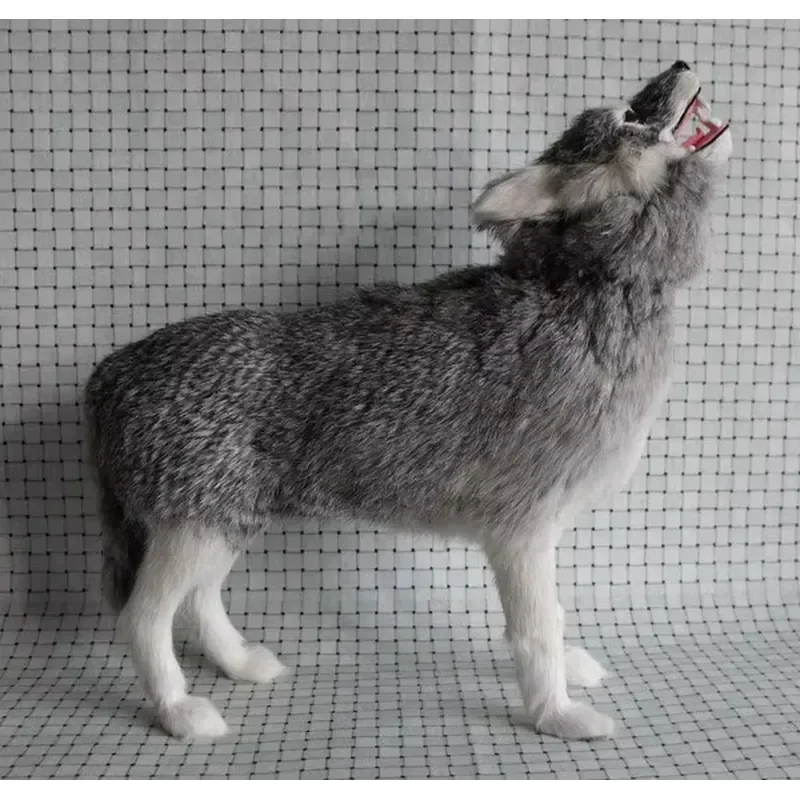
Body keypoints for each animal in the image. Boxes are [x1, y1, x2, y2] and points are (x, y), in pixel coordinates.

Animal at [84, 62, 732, 742]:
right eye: (630, 117)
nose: (682, 65)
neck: (589, 290)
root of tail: (111, 374)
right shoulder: (523, 535)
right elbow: (534, 634)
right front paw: (555, 714)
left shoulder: (541, 533)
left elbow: (551, 619)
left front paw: (569, 671)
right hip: (193, 532)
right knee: (144, 618)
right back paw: (179, 711)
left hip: (225, 525)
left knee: (199, 603)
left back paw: (243, 665)